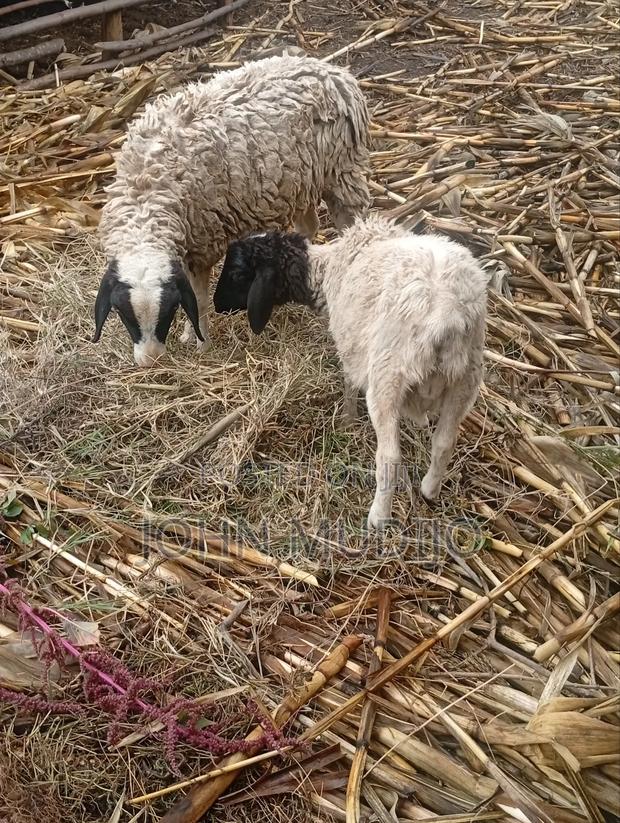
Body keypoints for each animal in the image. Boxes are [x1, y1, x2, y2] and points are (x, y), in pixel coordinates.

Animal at [92, 54, 371, 367]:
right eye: (121, 312)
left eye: (168, 310)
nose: (152, 362)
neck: (146, 192)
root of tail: (334, 72)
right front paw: (189, 334)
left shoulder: (203, 242)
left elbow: (199, 298)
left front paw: (202, 344)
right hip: (298, 179)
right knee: (308, 226)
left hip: (342, 172)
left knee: (351, 220)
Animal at [212, 214, 487, 529]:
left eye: (237, 274)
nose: (216, 305)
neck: (324, 269)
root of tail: (448, 318)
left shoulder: (349, 343)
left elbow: (348, 383)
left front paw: (347, 420)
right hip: (466, 379)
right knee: (443, 442)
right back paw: (429, 490)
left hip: (388, 374)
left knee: (390, 456)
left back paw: (378, 517)